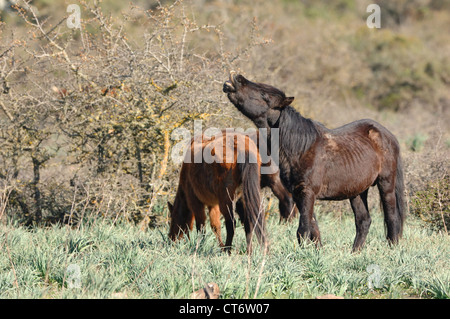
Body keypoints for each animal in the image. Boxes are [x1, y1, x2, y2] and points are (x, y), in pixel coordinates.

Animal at [223, 73, 406, 252]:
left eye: (264, 95)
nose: (236, 78)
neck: (300, 148)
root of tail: (387, 135)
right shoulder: (298, 194)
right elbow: (313, 227)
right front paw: (317, 252)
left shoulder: (307, 193)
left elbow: (303, 230)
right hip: (357, 191)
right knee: (364, 221)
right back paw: (355, 253)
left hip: (386, 184)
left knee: (392, 218)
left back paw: (392, 249)